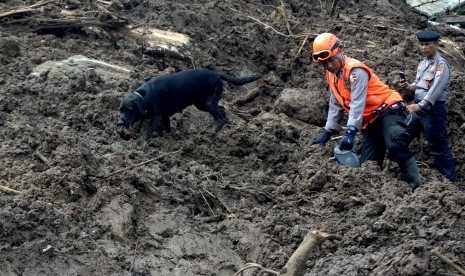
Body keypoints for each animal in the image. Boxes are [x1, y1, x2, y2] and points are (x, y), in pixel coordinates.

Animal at [116, 68, 260, 139]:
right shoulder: (164, 116)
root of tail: (216, 73)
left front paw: (141, 143)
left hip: (207, 103)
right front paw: (167, 138)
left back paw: (213, 133)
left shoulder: (157, 116)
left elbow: (148, 130)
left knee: (220, 117)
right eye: (120, 110)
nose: (120, 123)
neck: (145, 96)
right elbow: (167, 128)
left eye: (129, 110)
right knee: (222, 109)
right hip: (201, 103)